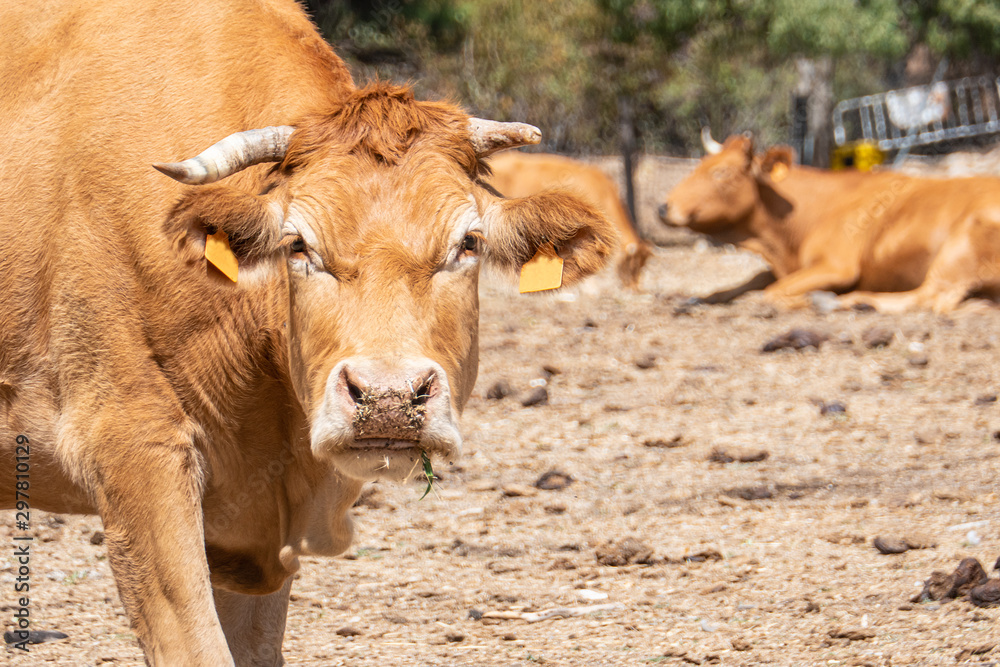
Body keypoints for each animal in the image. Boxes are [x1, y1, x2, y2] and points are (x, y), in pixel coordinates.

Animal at [658, 129, 1000, 312]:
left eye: (722, 173)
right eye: (701, 164)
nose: (663, 207)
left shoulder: (836, 266)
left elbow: (773, 292)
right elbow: (753, 280)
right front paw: (697, 299)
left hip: (957, 248)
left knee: (929, 297)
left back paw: (848, 301)